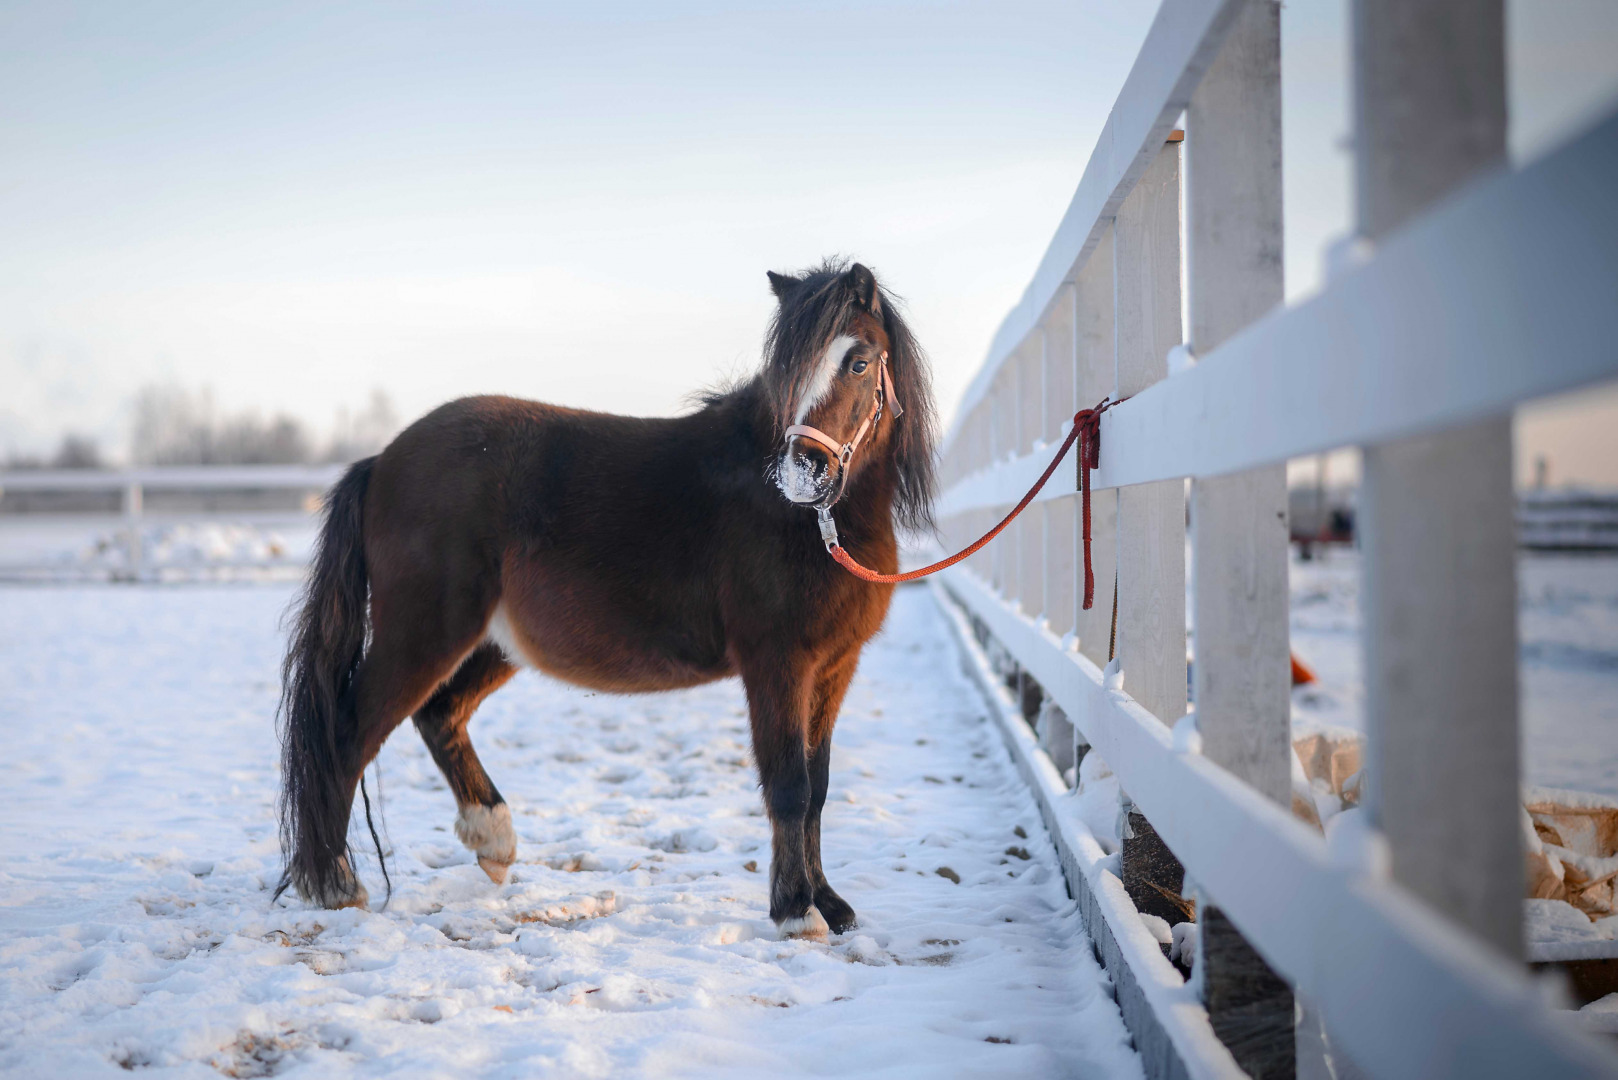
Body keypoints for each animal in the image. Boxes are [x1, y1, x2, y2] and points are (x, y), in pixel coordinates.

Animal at [275, 259, 938, 939]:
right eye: (787, 373)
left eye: (859, 362)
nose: (802, 473)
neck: (809, 522)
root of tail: (381, 461)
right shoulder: (777, 664)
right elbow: (789, 786)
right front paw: (796, 911)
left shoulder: (832, 668)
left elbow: (818, 786)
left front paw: (829, 903)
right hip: (424, 634)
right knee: (348, 736)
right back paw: (336, 884)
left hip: (492, 643)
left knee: (439, 715)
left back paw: (493, 840)